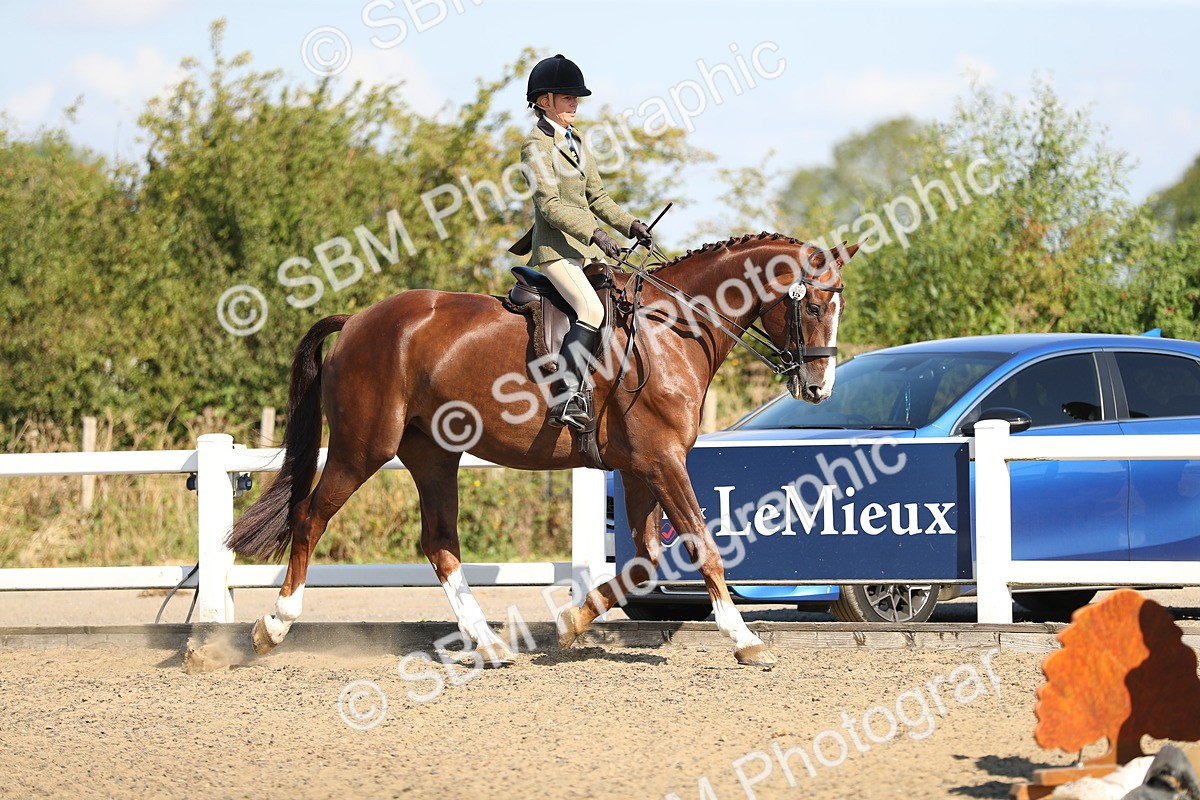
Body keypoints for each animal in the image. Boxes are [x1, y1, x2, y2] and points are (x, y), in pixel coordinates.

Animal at [226, 233, 857, 666]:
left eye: (838, 307)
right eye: (812, 306)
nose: (818, 388)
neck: (671, 328)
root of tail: (358, 319)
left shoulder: (638, 468)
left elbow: (646, 558)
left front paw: (573, 623)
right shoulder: (662, 461)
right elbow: (702, 545)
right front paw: (745, 639)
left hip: (434, 455)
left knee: (439, 543)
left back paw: (488, 644)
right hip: (362, 448)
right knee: (310, 519)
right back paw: (273, 627)